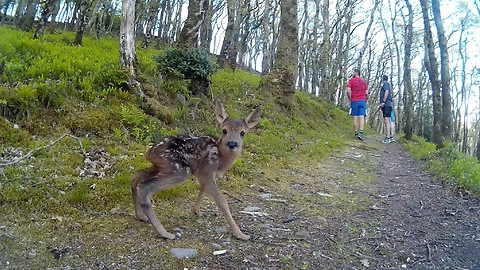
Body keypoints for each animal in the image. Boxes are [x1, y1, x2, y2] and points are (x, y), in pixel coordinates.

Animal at [129, 99, 260, 240]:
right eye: (224, 130)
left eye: (242, 133)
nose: (232, 143)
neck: (222, 159)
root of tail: (150, 152)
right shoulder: (207, 169)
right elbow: (221, 201)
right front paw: (241, 234)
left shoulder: (204, 173)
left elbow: (202, 190)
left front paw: (196, 211)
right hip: (179, 169)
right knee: (144, 187)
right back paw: (165, 233)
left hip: (161, 166)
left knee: (136, 178)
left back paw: (141, 216)